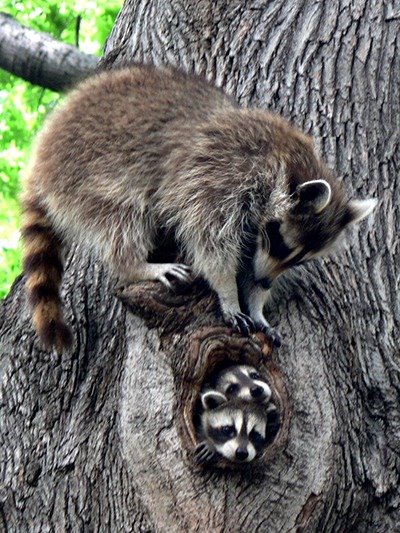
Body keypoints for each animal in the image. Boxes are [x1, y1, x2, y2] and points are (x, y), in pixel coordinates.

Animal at [20, 63, 376, 350]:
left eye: (300, 259)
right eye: (280, 243)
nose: (266, 283)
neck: (287, 159)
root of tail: (41, 153)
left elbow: (246, 256)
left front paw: (256, 301)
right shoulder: (220, 178)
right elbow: (209, 242)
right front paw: (229, 293)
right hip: (88, 173)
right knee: (124, 216)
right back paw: (133, 263)